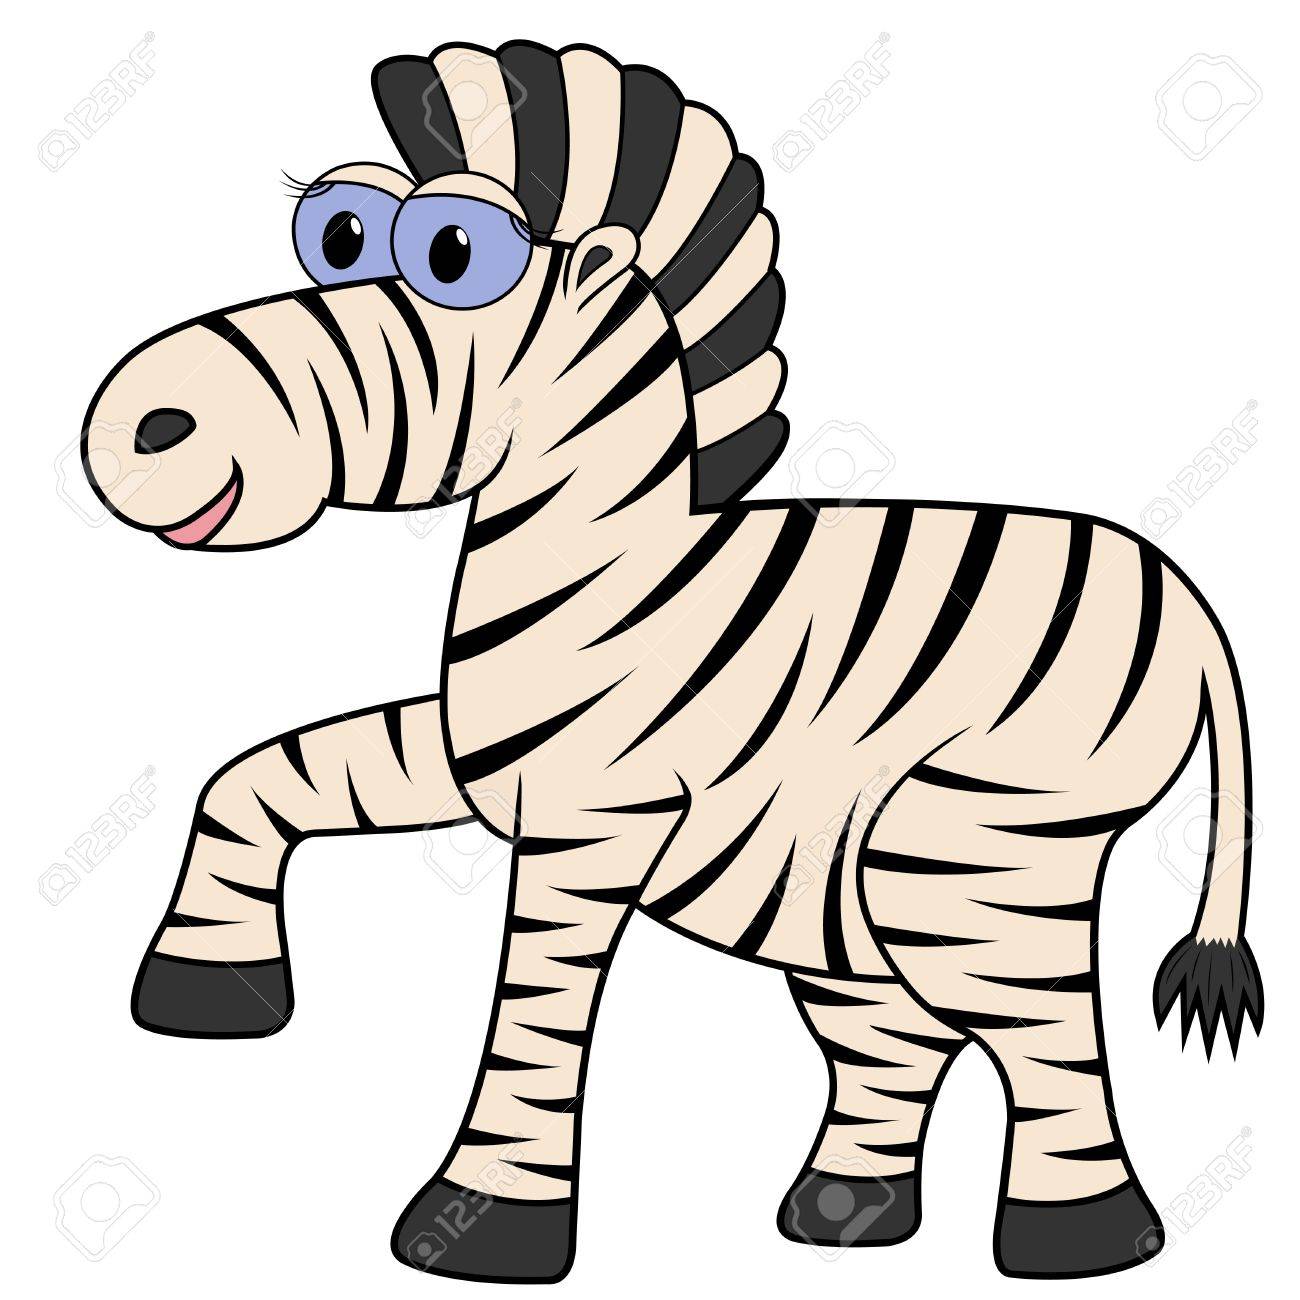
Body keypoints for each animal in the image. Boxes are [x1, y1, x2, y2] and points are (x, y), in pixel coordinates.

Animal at [81, 40, 1262, 1283]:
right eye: (338, 236)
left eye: (453, 257)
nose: (142, 423)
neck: (597, 560)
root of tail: (1185, 592)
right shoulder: (473, 753)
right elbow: (264, 775)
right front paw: (208, 980)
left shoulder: (595, 811)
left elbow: (535, 1003)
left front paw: (483, 1221)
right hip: (843, 895)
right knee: (896, 1038)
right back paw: (845, 1208)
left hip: (970, 849)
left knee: (1042, 1034)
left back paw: (1076, 1240)